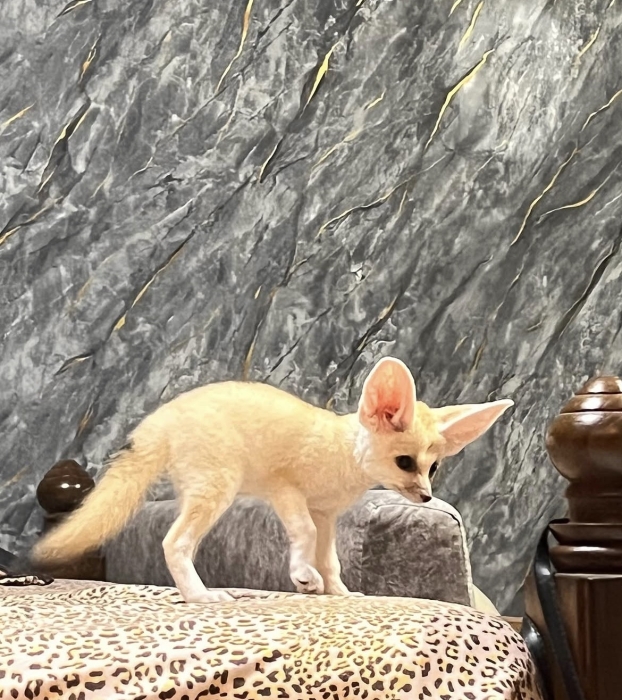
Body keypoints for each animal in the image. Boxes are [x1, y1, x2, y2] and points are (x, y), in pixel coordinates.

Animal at [33, 357, 513, 603]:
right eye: (404, 463)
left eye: (433, 468)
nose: (427, 497)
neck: (341, 453)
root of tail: (159, 419)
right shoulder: (287, 492)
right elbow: (302, 536)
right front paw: (302, 576)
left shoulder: (326, 514)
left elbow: (330, 558)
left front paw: (338, 591)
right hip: (218, 489)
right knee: (174, 543)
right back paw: (201, 596)